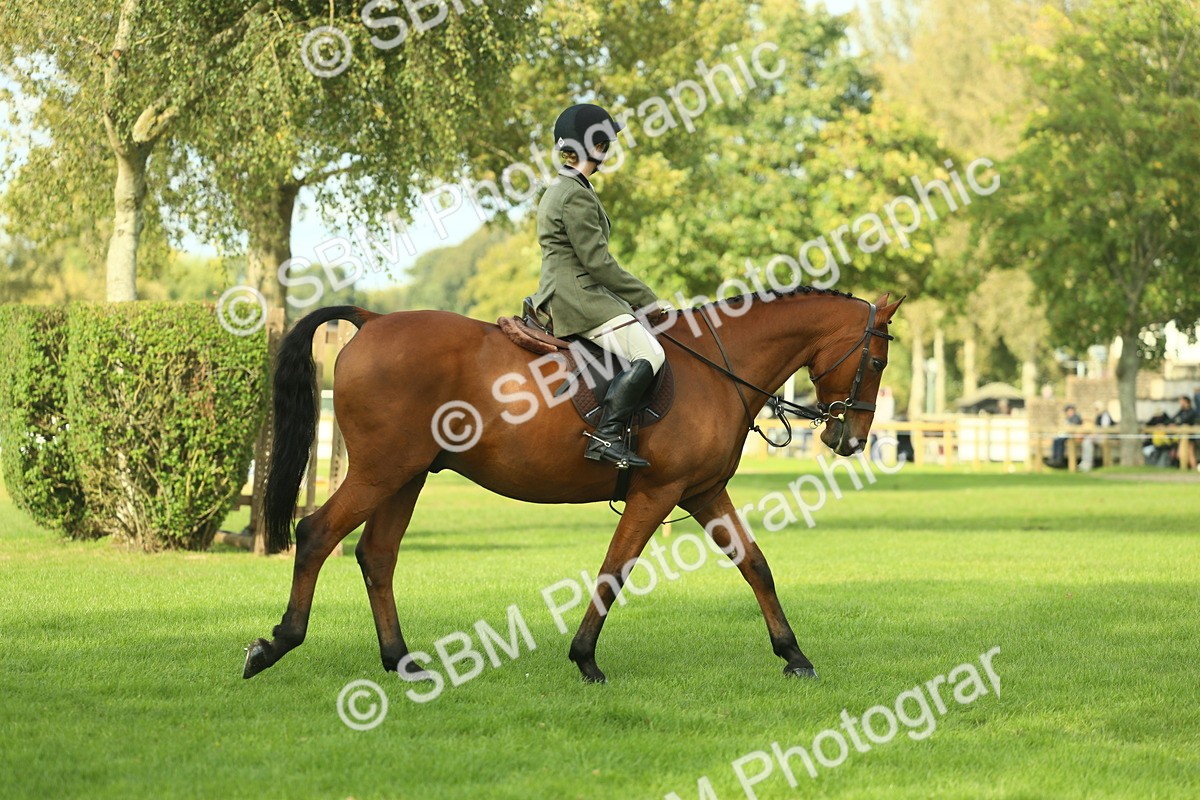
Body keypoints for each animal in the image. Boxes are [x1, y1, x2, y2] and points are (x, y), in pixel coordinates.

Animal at [243, 287, 903, 683]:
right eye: (876, 362)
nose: (850, 439)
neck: (720, 368)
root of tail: (375, 319)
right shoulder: (658, 493)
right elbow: (615, 569)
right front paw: (585, 660)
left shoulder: (703, 492)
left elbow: (755, 565)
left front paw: (794, 655)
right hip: (381, 471)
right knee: (316, 533)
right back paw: (277, 644)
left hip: (406, 477)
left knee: (376, 555)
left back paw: (400, 661)